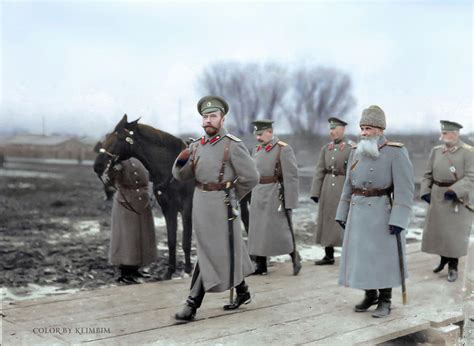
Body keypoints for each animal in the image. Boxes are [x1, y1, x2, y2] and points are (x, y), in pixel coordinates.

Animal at [93, 115, 193, 280]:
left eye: (118, 137)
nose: (97, 165)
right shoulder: (168, 209)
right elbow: (171, 240)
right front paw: (169, 272)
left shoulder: (187, 208)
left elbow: (186, 240)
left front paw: (188, 271)